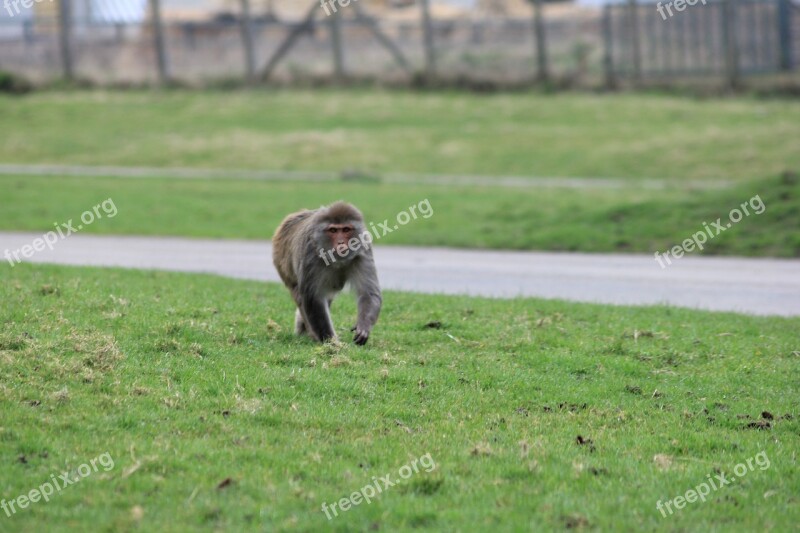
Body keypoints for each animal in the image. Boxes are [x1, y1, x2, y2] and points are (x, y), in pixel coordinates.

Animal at [274, 201, 382, 344]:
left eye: (346, 229)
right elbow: (313, 298)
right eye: (333, 230)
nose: (341, 242)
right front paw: (331, 341)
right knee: (300, 295)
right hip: (282, 262)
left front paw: (363, 327)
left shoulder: (363, 250)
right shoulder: (311, 253)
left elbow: (368, 293)